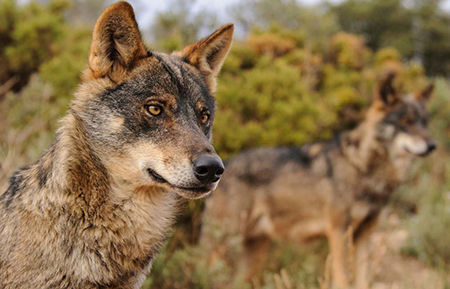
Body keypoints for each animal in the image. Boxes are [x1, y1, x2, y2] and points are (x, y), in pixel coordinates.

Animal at [203, 75, 436, 288]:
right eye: (406, 122)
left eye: (424, 123)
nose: (433, 145)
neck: (362, 166)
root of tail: (223, 167)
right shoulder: (338, 232)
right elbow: (342, 279)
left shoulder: (364, 235)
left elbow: (363, 280)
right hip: (224, 246)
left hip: (253, 253)